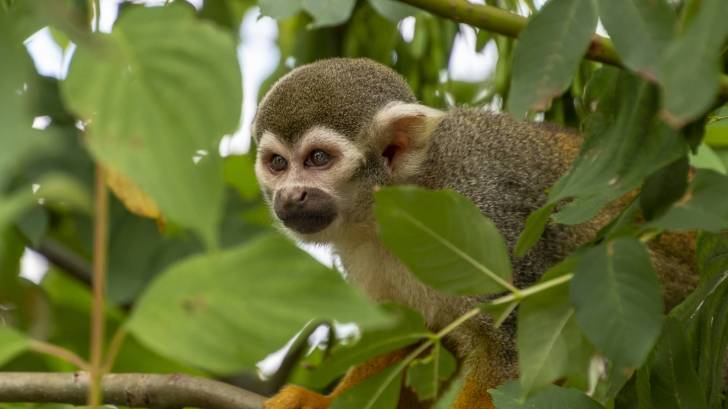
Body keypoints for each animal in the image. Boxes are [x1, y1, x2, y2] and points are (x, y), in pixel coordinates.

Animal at [252, 58, 698, 409]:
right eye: (277, 163)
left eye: (318, 159)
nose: (291, 196)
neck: (393, 206)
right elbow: (410, 338)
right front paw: (319, 402)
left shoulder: (483, 212)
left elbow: (513, 352)